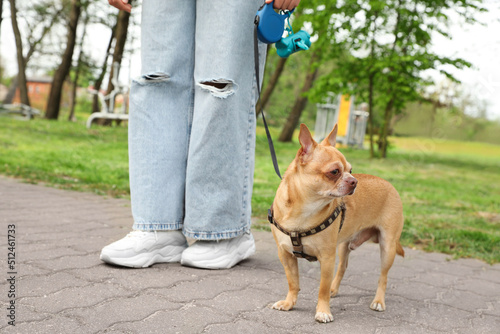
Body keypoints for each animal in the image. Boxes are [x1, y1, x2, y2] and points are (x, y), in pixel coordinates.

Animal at [268, 123, 404, 324]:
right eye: (334, 172)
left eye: (351, 170)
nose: (354, 181)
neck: (304, 210)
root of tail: (390, 184)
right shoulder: (286, 255)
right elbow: (293, 282)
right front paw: (289, 303)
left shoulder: (327, 258)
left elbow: (321, 289)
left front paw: (323, 311)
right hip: (344, 245)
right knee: (342, 268)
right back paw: (335, 289)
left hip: (387, 247)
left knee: (383, 276)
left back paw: (379, 301)